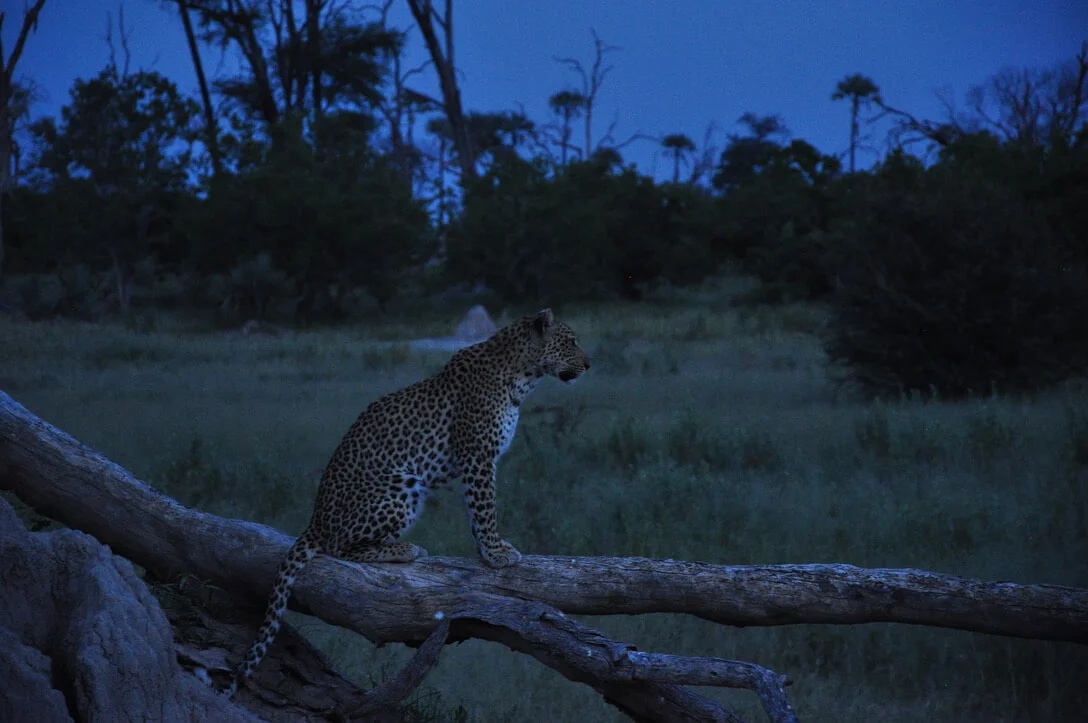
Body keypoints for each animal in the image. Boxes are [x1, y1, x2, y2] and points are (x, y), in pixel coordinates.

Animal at [227, 308, 590, 695]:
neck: (523, 373)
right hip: (402, 487)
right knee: (341, 549)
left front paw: (489, 551)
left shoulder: (478, 460)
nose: (588, 364)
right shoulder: (477, 458)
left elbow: (478, 514)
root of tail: (315, 520)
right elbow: (484, 509)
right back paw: (404, 549)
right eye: (571, 342)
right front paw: (496, 554)